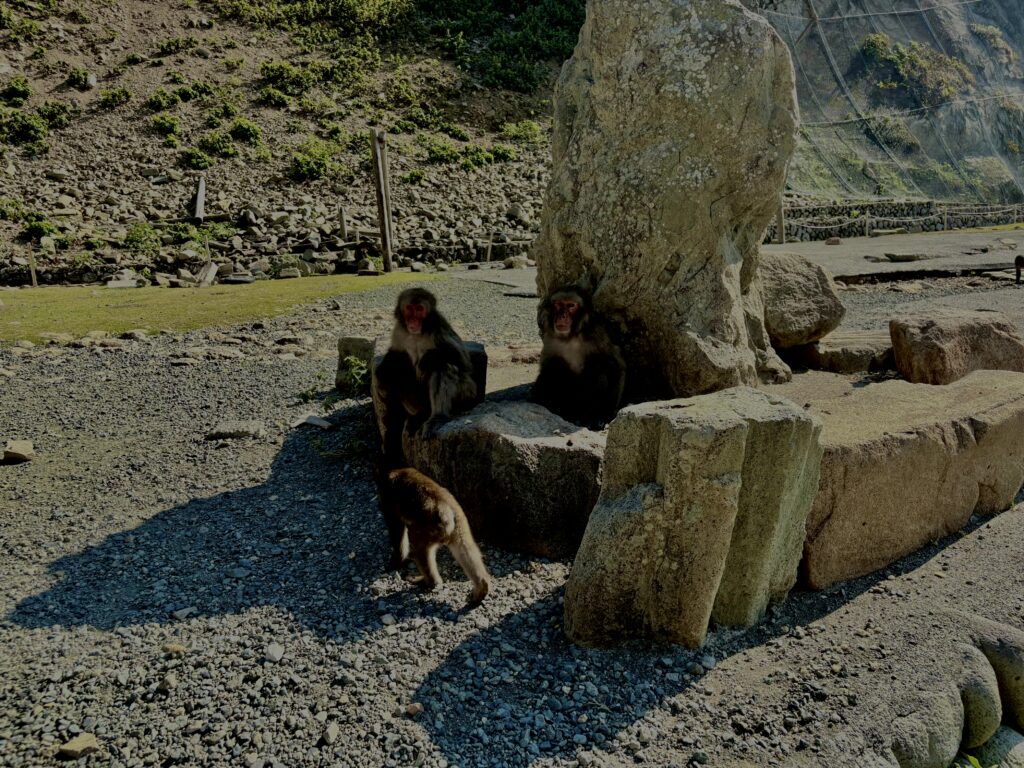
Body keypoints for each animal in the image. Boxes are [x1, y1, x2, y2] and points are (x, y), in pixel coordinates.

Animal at [373, 287, 477, 463]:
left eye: (420, 309)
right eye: (409, 308)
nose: (413, 320)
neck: (417, 333)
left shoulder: (439, 328)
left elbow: (463, 361)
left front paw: (428, 359)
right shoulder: (399, 330)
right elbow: (394, 355)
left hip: (467, 393)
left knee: (443, 367)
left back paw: (437, 417)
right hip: (416, 401)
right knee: (392, 372)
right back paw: (404, 422)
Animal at [375, 464, 490, 605]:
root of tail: (447, 512)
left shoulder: (387, 497)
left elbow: (396, 528)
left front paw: (397, 561)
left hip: (429, 527)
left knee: (419, 549)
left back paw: (429, 582)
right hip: (459, 523)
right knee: (465, 548)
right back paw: (482, 588)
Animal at [532, 281, 626, 429]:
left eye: (571, 306)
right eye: (559, 304)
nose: (562, 316)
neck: (571, 336)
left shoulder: (598, 333)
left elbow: (617, 366)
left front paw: (605, 415)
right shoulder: (550, 338)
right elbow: (546, 367)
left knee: (598, 365)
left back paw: (589, 417)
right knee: (555, 365)